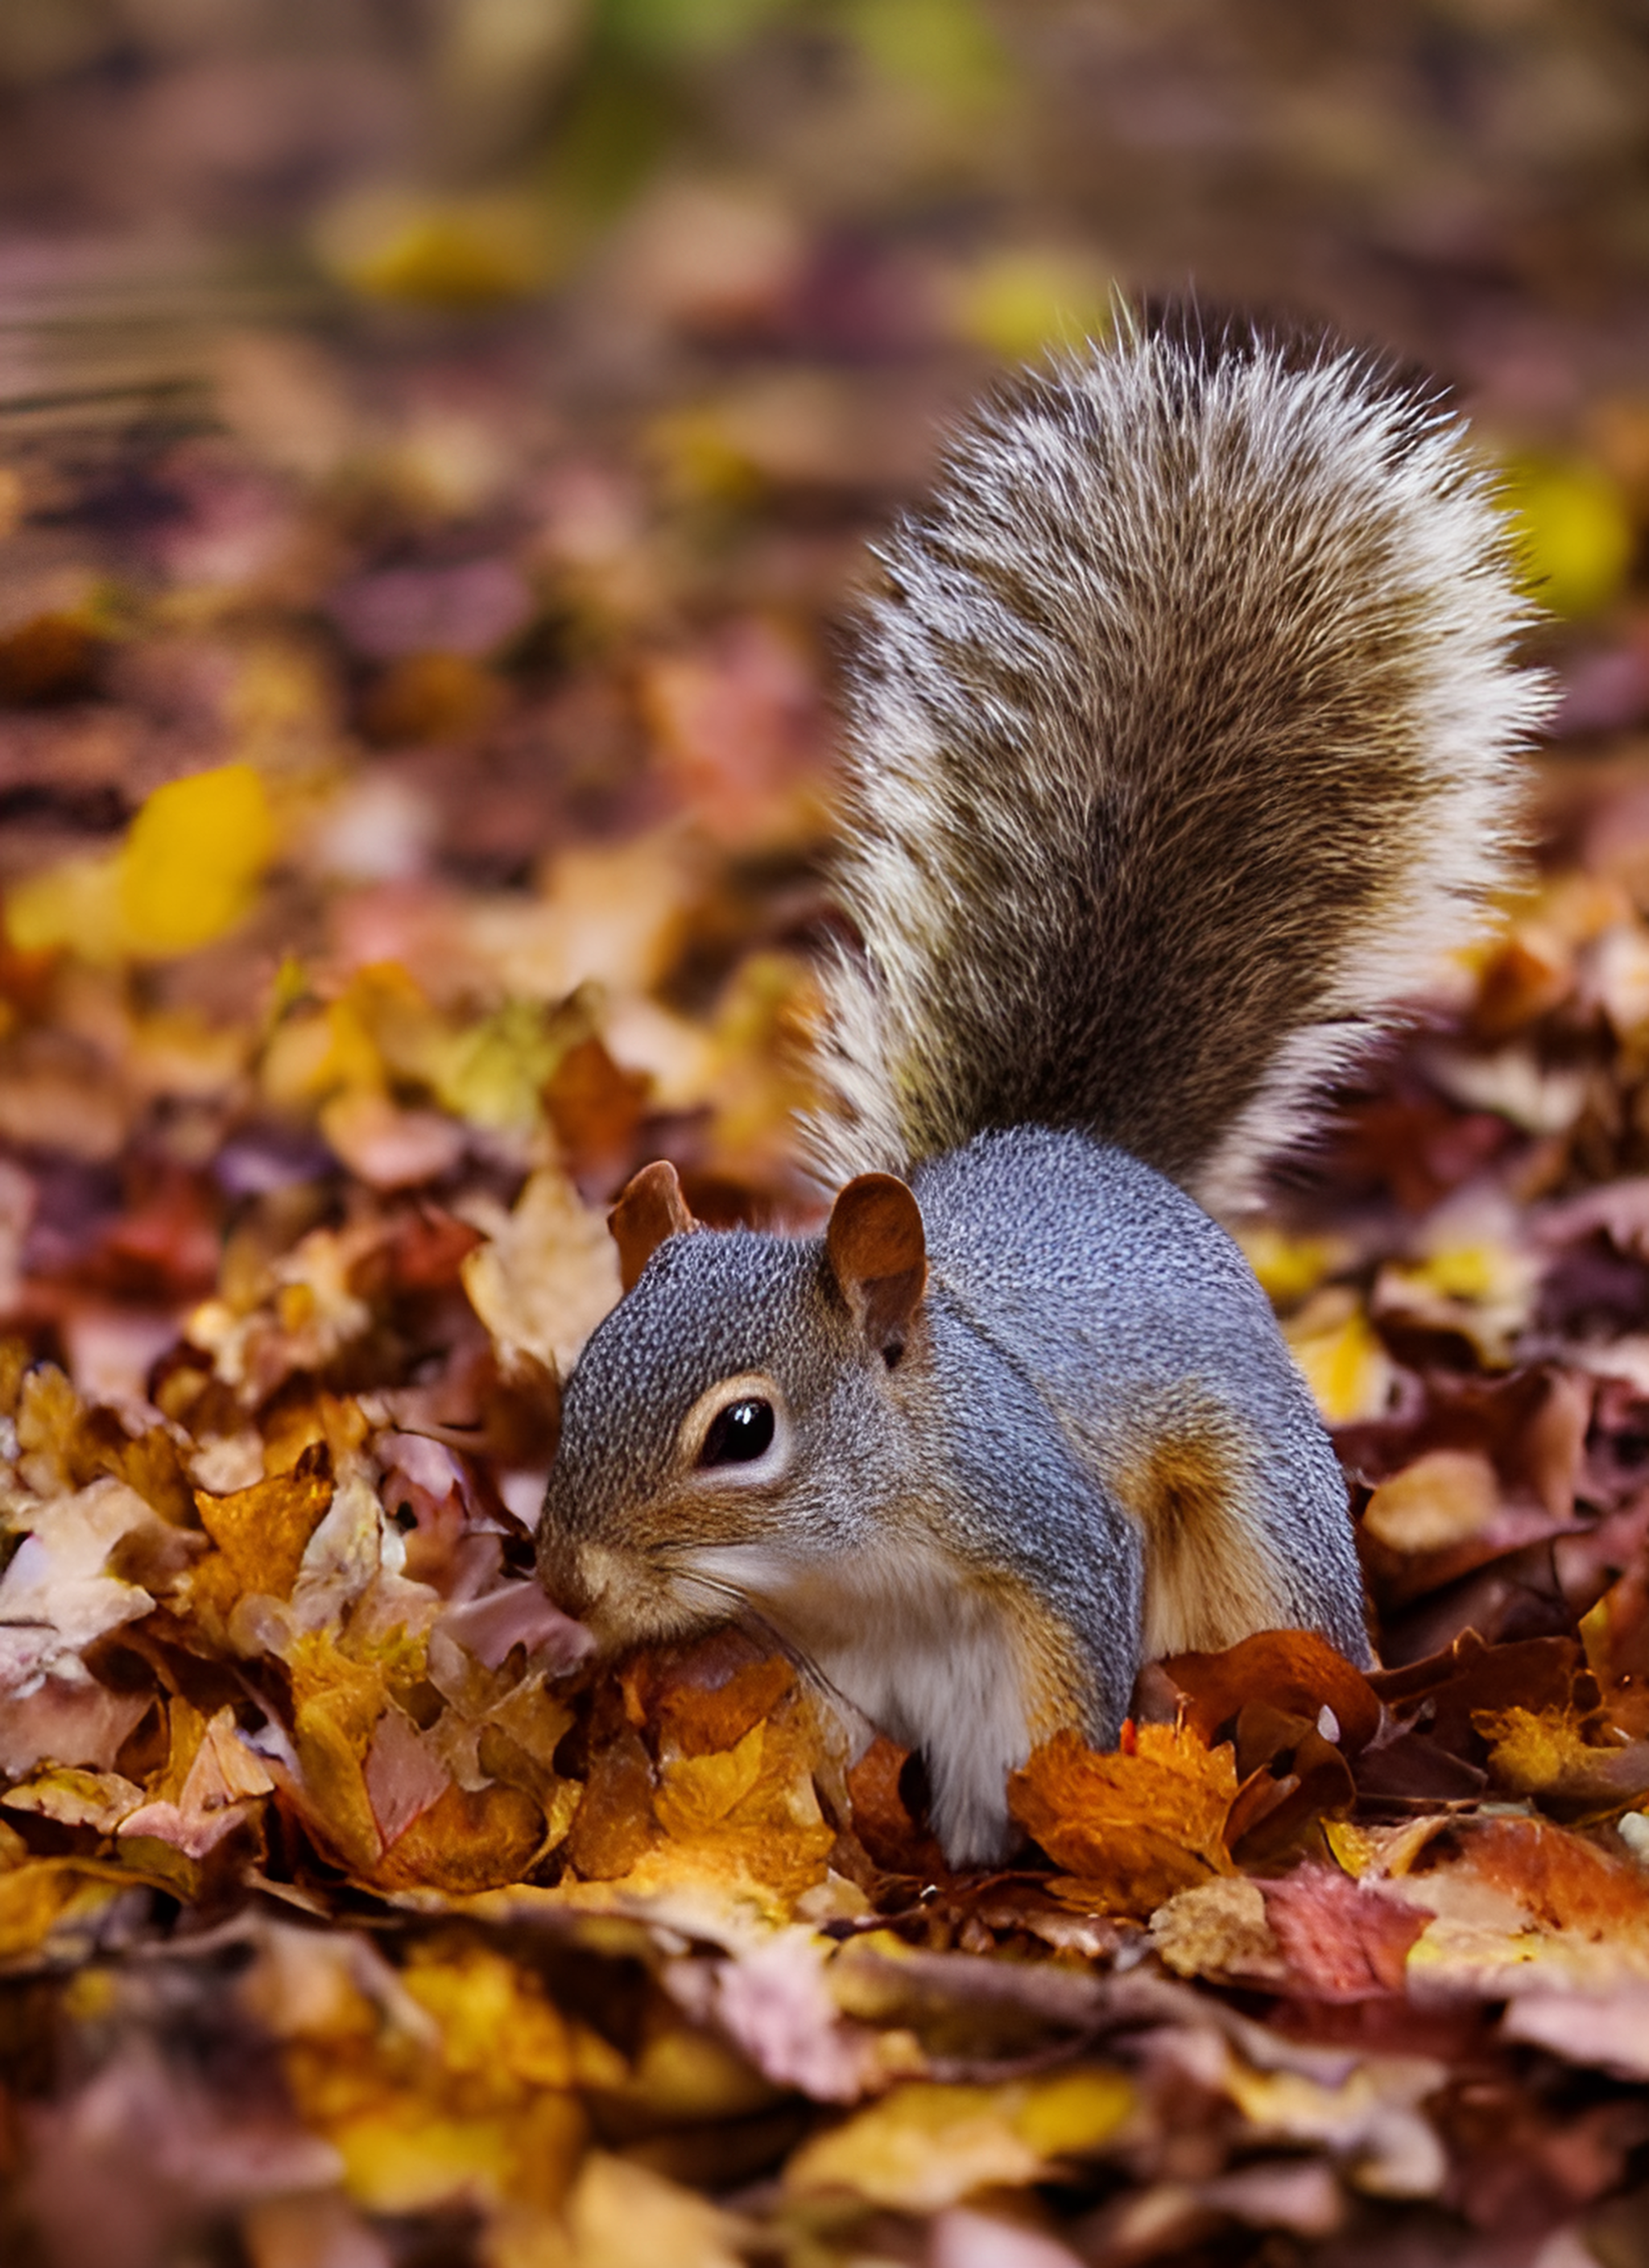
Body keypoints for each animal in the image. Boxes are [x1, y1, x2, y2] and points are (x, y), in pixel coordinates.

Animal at [537, 306, 1551, 1860]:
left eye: (744, 1432)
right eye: (579, 1369)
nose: (566, 1584)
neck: (845, 1558)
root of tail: (1090, 1151)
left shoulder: (1056, 1548)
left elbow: (1055, 1721)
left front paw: (1030, 1846)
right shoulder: (813, 1670)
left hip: (1259, 1550)